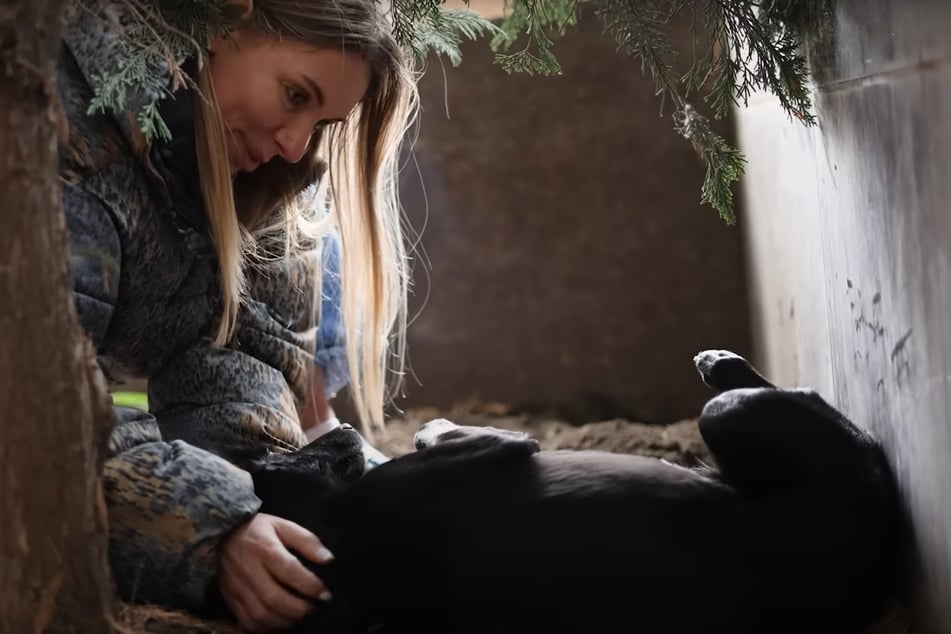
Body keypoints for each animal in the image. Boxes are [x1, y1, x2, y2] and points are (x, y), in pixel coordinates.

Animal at [236, 350, 900, 632]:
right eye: (297, 465)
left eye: (279, 460)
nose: (342, 431)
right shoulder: (491, 444)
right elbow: (444, 432)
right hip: (737, 420)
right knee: (772, 400)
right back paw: (719, 364)